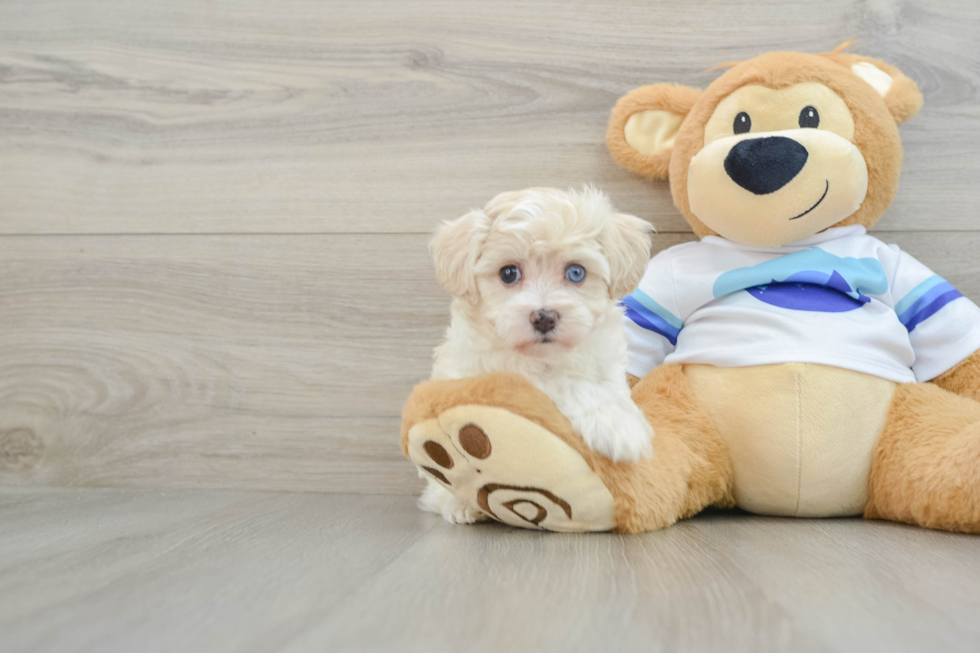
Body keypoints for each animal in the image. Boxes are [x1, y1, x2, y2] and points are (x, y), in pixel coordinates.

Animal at [424, 186, 656, 524]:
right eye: (508, 273)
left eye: (576, 272)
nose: (544, 317)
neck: (548, 355)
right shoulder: (505, 377)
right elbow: (565, 383)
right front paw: (618, 428)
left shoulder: (607, 366)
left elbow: (611, 390)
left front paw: (623, 419)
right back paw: (461, 505)